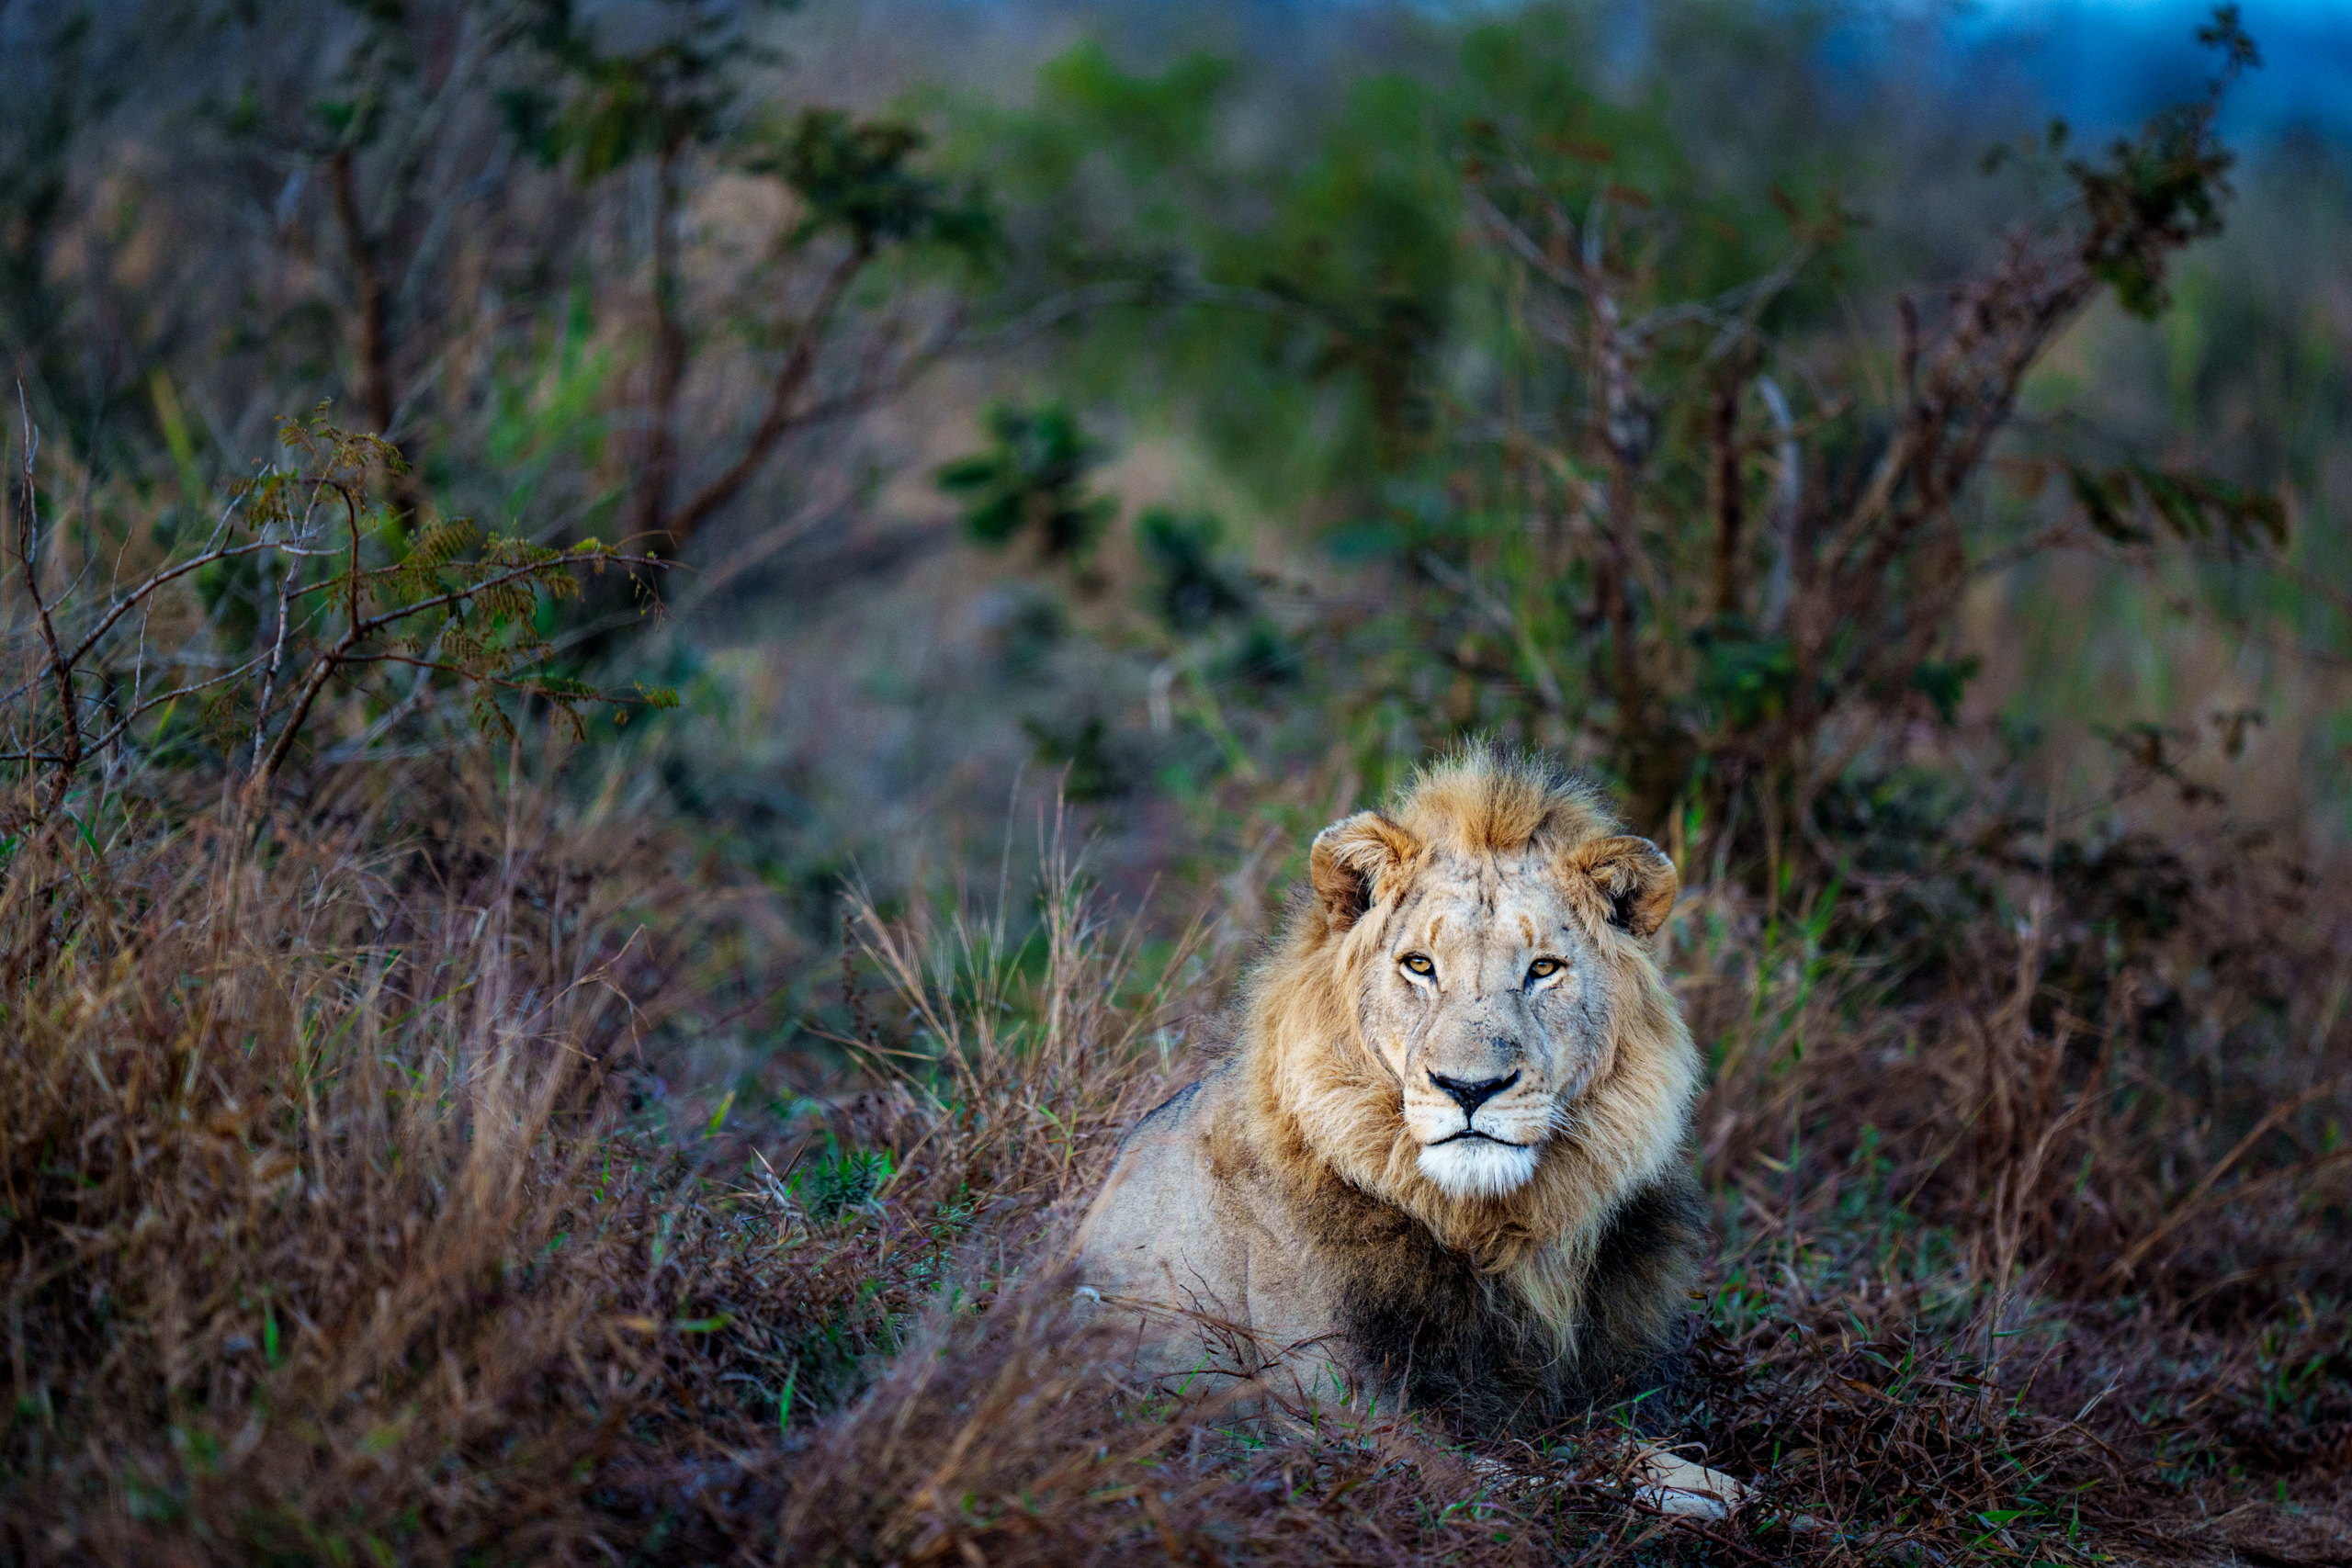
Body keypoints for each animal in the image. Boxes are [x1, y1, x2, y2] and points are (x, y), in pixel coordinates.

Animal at [1074, 746, 1744, 1515]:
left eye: (1543, 968)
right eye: (1420, 965)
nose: (1470, 1088)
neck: (1497, 1233)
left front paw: (1711, 1487)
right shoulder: (1327, 1407)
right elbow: (1516, 1484)